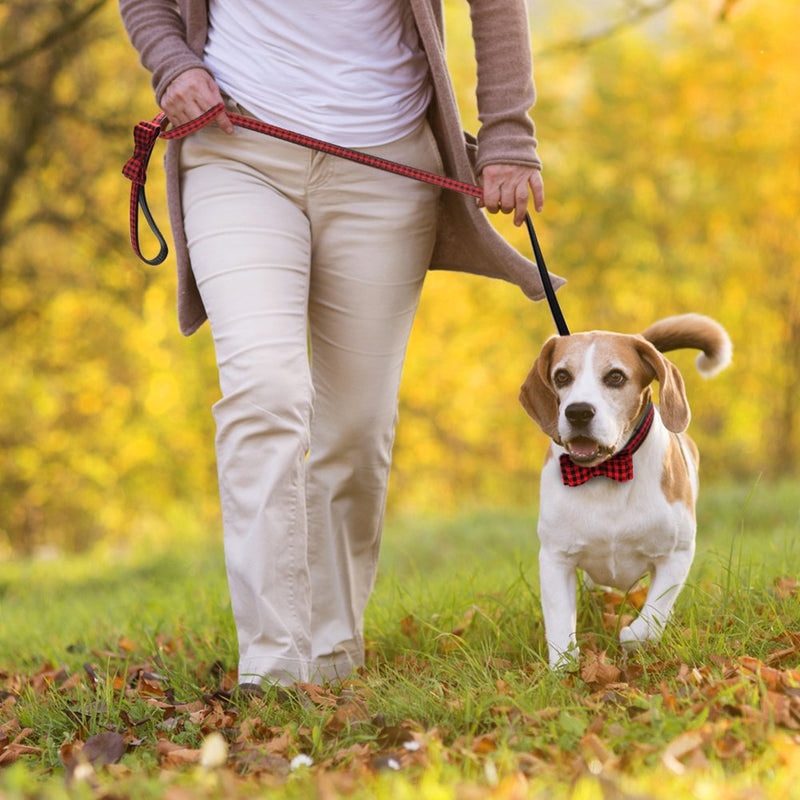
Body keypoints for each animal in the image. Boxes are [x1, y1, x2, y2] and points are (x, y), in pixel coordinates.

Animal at [520, 312, 732, 668]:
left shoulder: (676, 554)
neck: (606, 473)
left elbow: (653, 615)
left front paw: (632, 635)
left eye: (616, 377)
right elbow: (560, 621)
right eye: (561, 376)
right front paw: (563, 665)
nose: (578, 412)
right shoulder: (555, 557)